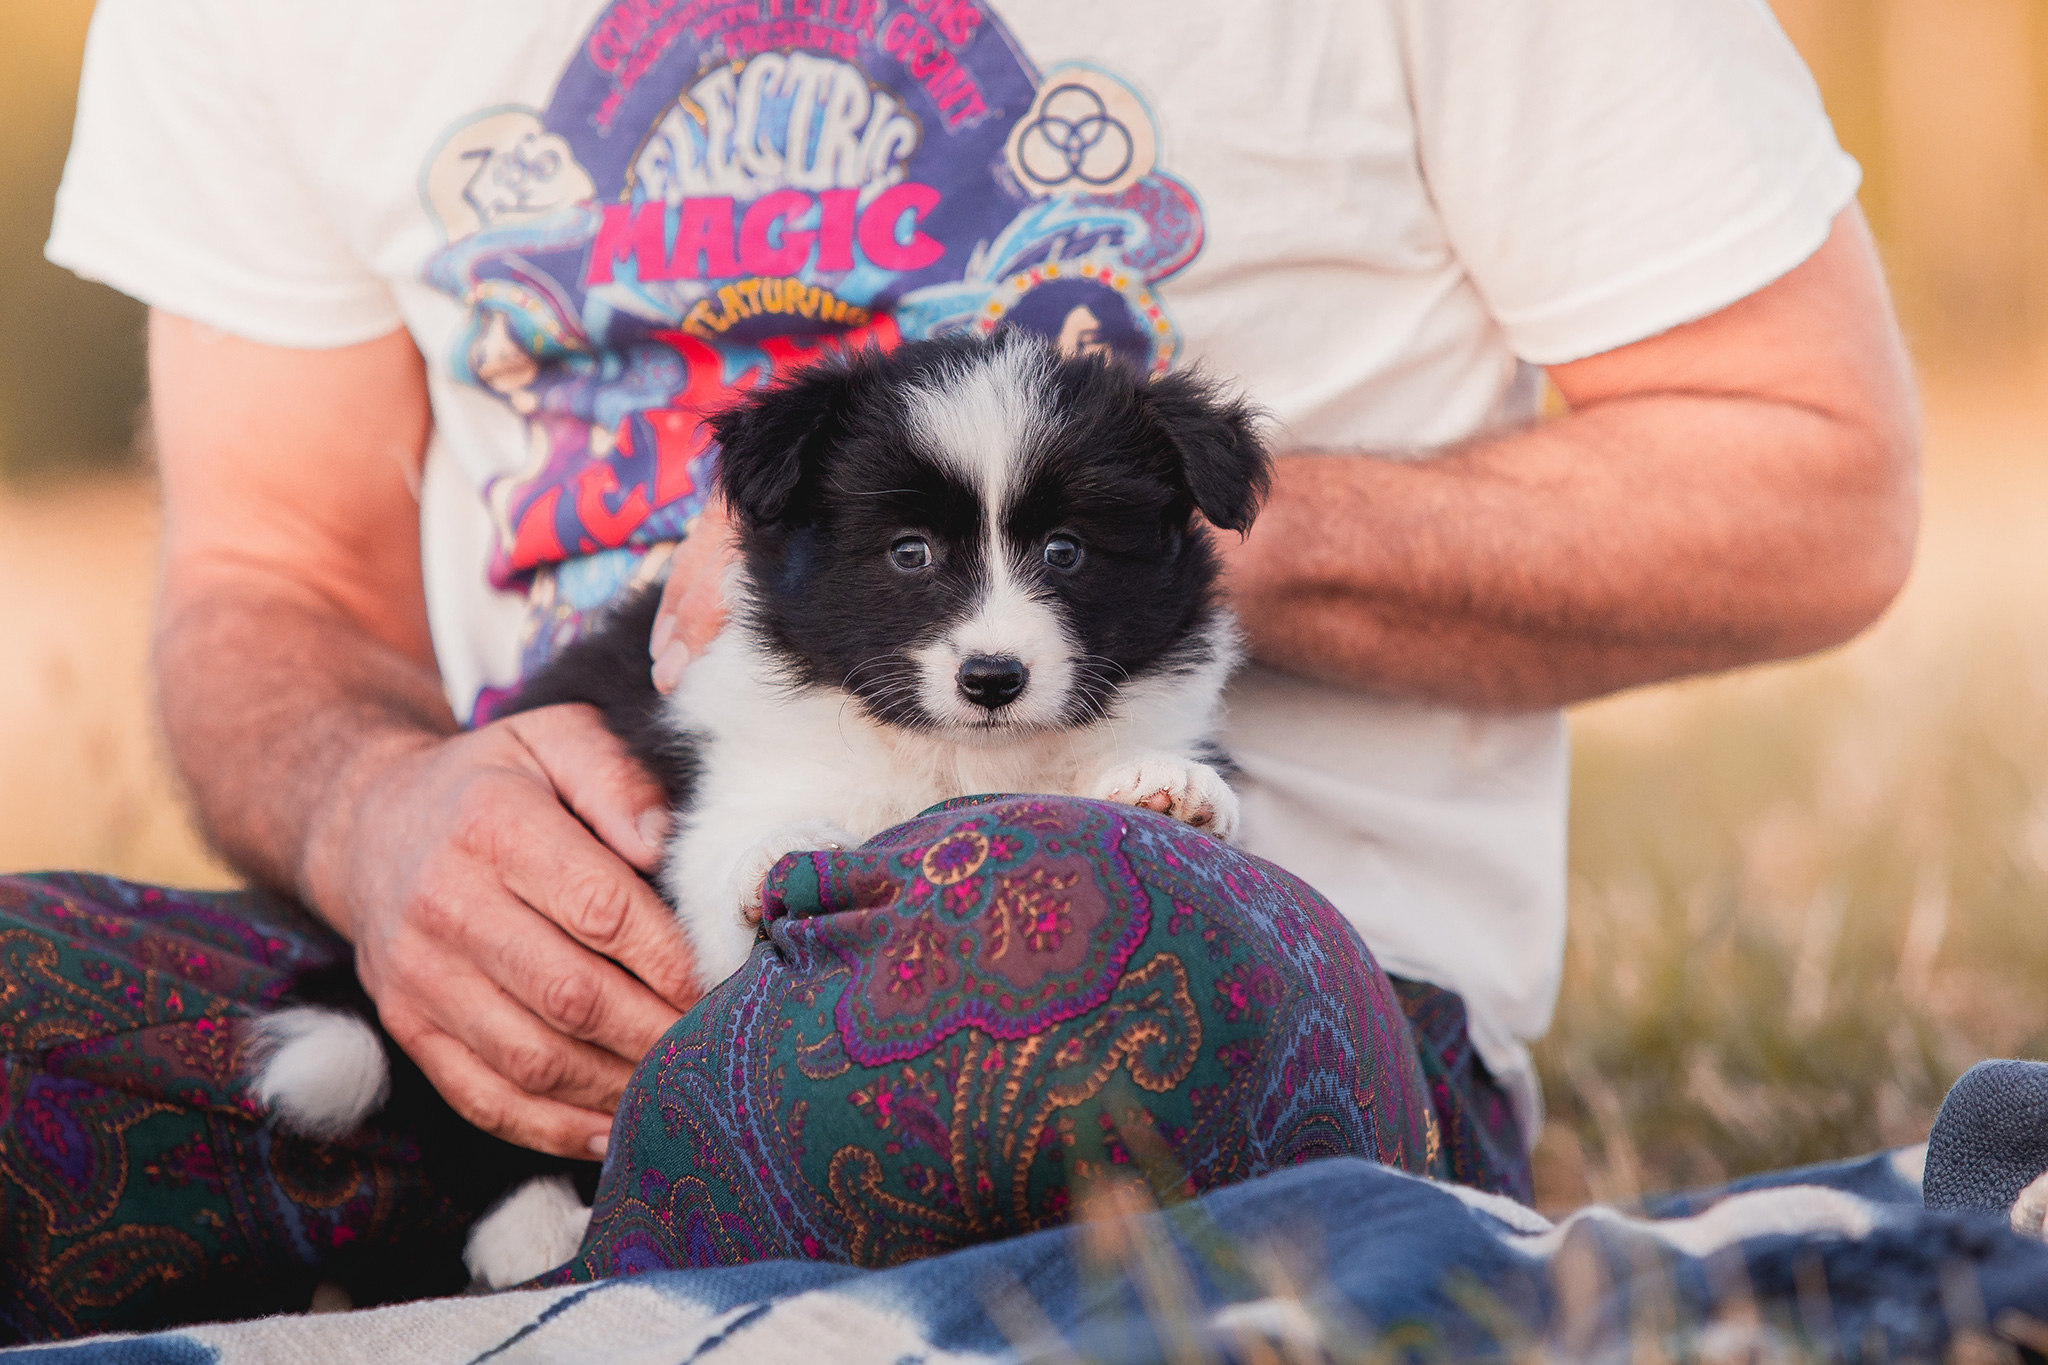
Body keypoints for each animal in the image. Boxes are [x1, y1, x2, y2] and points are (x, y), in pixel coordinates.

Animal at [239, 333, 1261, 1293]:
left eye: (1067, 550)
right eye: (910, 552)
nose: (993, 677)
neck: (955, 751)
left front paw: (1172, 785)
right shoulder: (717, 787)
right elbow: (736, 857)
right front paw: (784, 848)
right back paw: (526, 1223)